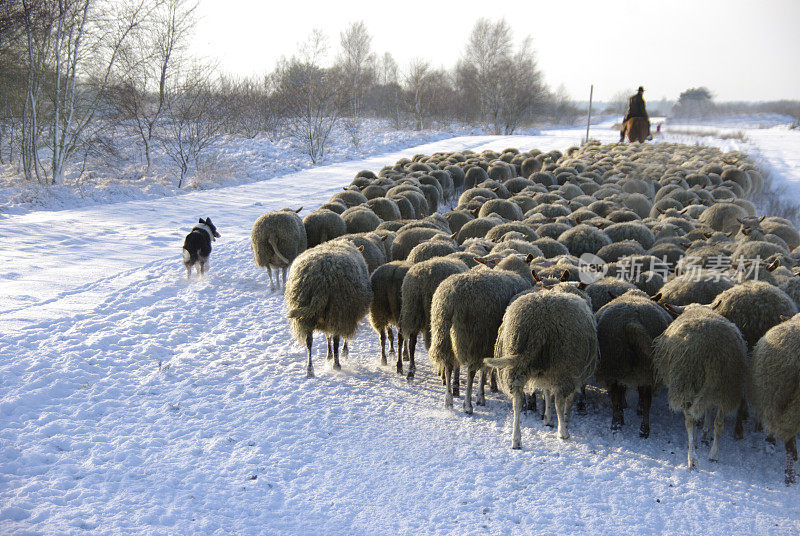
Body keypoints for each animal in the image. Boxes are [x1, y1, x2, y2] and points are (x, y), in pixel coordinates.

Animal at [286, 243, 374, 376]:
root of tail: (322, 276)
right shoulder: (349, 314)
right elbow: (340, 338)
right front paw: (343, 352)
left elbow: (328, 335)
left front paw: (329, 355)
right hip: (339, 310)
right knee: (336, 340)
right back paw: (336, 364)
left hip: (307, 314)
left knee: (309, 341)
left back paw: (310, 369)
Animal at [482, 286, 600, 446]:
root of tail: (540, 322)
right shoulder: (574, 373)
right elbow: (564, 400)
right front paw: (564, 420)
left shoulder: (546, 372)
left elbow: (546, 392)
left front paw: (548, 419)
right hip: (563, 363)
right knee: (559, 401)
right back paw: (563, 432)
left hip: (518, 357)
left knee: (517, 400)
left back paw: (516, 439)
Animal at [596, 288, 672, 436]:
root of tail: (632, 323)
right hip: (643, 368)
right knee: (645, 398)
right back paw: (642, 429)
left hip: (616, 365)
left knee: (617, 397)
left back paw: (618, 424)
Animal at [648, 306, 752, 468]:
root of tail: (709, 349)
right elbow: (708, 409)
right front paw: (706, 432)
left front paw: (701, 435)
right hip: (725, 387)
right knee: (719, 423)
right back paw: (713, 454)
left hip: (686, 383)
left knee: (689, 422)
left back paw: (692, 457)